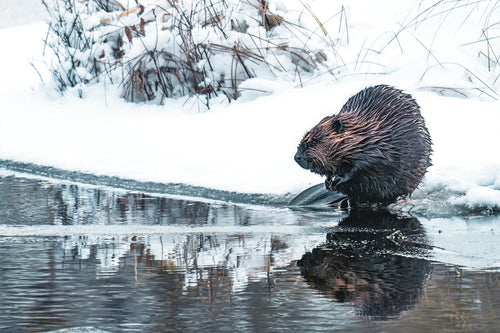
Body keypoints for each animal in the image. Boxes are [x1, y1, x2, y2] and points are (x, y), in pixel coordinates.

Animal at [294, 84, 432, 204]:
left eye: (315, 141)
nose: (296, 157)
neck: (364, 135)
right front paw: (328, 182)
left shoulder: (377, 150)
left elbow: (364, 166)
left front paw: (338, 180)